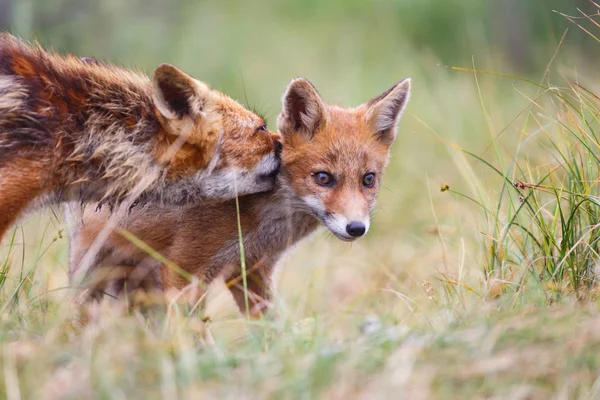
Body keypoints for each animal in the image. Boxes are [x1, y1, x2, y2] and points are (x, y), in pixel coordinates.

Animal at [68, 77, 410, 316]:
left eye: (368, 180)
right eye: (323, 178)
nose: (356, 228)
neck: (262, 221)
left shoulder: (251, 273)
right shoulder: (182, 269)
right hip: (92, 273)